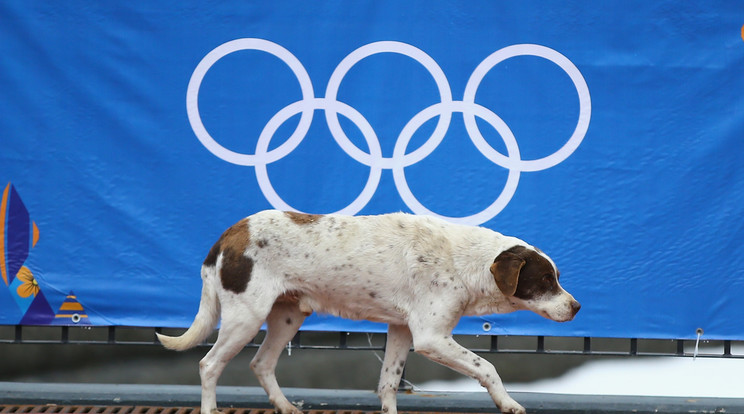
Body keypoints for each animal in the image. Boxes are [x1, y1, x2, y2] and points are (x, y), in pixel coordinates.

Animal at [160, 210, 580, 414]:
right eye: (546, 279)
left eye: (557, 278)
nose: (576, 307)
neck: (465, 261)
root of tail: (228, 236)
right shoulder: (431, 338)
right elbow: (488, 367)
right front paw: (508, 403)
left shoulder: (402, 331)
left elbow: (389, 383)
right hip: (244, 318)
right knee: (209, 365)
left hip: (287, 316)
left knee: (260, 364)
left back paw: (285, 406)